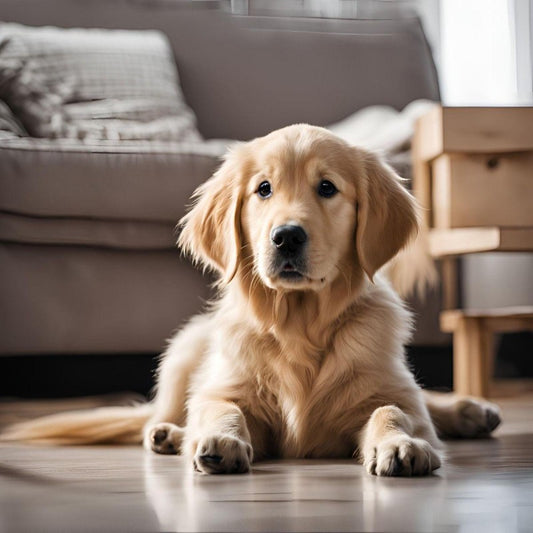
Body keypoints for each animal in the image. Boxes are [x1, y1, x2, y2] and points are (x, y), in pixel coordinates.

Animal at [2, 123, 498, 474]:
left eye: (327, 187)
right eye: (263, 189)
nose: (287, 237)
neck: (300, 326)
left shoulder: (389, 388)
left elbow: (394, 409)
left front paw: (400, 443)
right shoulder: (227, 386)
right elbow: (221, 406)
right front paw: (220, 440)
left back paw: (470, 410)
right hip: (182, 352)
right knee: (158, 415)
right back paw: (168, 434)